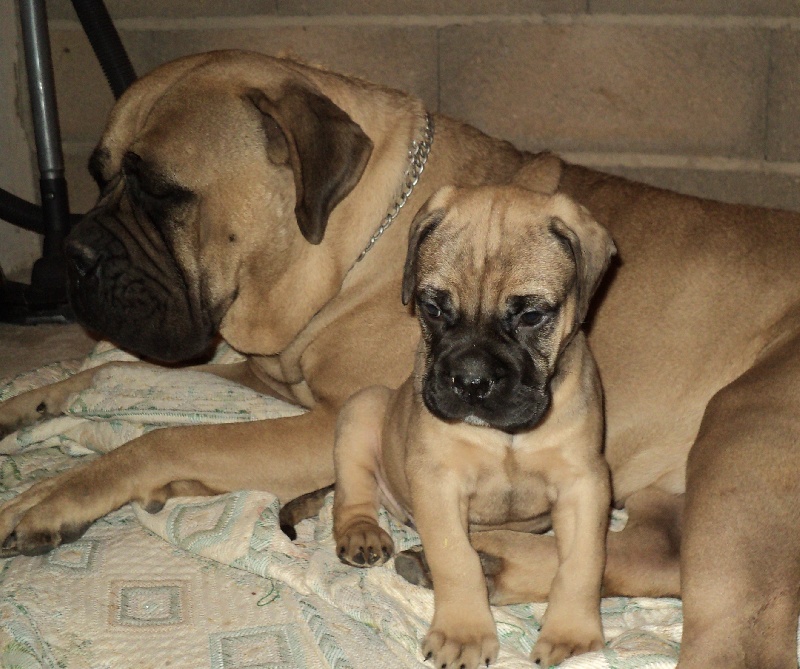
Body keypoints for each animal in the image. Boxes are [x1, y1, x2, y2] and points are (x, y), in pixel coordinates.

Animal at [330, 185, 614, 668]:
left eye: (531, 316)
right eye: (432, 307)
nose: (470, 381)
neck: (508, 437)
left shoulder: (584, 483)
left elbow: (581, 563)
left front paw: (572, 634)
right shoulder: (438, 483)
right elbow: (456, 559)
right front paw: (463, 632)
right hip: (363, 408)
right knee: (352, 494)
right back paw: (361, 532)